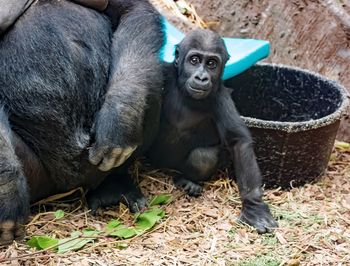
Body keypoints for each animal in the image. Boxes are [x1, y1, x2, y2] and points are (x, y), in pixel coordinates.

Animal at [0, 0, 164, 245]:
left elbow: (134, 12)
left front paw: (119, 119)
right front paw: (7, 192)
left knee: (150, 73)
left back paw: (114, 184)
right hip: (40, 181)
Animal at [149, 28, 278, 233]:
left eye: (211, 64)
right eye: (194, 60)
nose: (201, 77)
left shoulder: (220, 97)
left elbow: (238, 141)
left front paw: (253, 206)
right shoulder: (163, 73)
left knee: (203, 157)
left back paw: (187, 181)